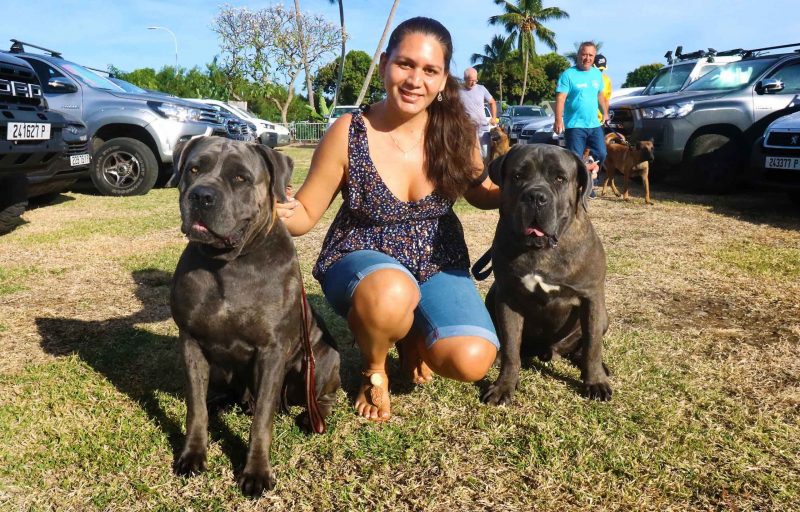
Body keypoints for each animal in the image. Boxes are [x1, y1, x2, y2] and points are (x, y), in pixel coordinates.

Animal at [169, 136, 340, 496]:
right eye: (193, 169)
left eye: (240, 178)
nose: (201, 195)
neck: (228, 263)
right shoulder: (191, 342)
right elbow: (195, 408)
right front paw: (192, 454)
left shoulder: (271, 351)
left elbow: (262, 420)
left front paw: (257, 472)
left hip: (320, 361)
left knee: (321, 396)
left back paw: (311, 416)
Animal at [482, 143, 612, 404]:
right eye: (518, 176)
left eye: (560, 178)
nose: (536, 196)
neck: (540, 250)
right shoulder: (507, 298)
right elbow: (511, 347)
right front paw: (503, 386)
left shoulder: (591, 297)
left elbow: (593, 345)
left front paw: (595, 381)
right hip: (491, 296)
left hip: (603, 316)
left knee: (585, 346)